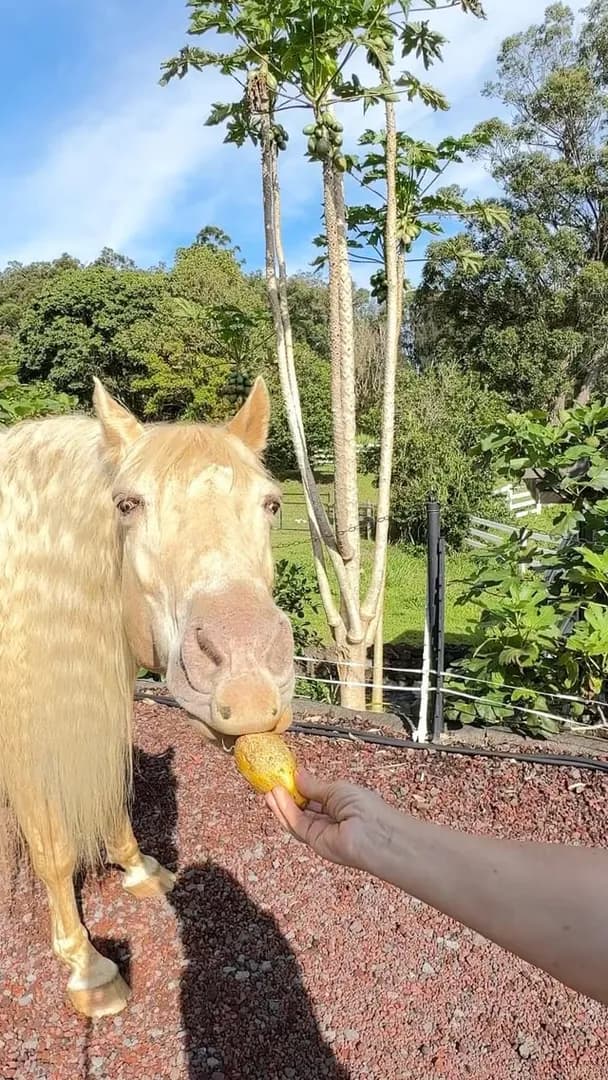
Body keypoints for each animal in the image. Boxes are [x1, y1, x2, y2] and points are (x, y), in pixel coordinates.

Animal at [0, 376, 295, 1018]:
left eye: (271, 503)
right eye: (127, 505)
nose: (247, 676)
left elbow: (113, 792)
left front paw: (137, 869)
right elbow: (55, 850)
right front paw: (86, 967)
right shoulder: (27, 744)